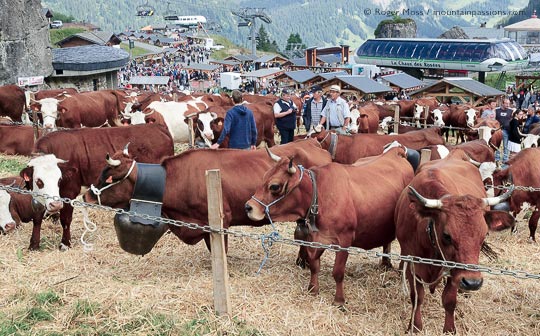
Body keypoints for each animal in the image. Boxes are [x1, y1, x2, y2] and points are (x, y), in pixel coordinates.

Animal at [245, 146, 414, 304]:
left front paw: (339, 300)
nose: (248, 207)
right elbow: (314, 265)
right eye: (264, 176)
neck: (319, 196)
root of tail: (395, 151)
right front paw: (313, 289)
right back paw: (386, 263)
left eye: (274, 186)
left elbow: (338, 272)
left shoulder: (345, 240)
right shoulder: (315, 238)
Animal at [396, 150, 516, 334]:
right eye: (447, 236)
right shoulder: (412, 263)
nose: (473, 283)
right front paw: (415, 326)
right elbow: (417, 297)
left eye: (483, 236)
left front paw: (449, 329)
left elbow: (449, 300)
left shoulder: (455, 269)